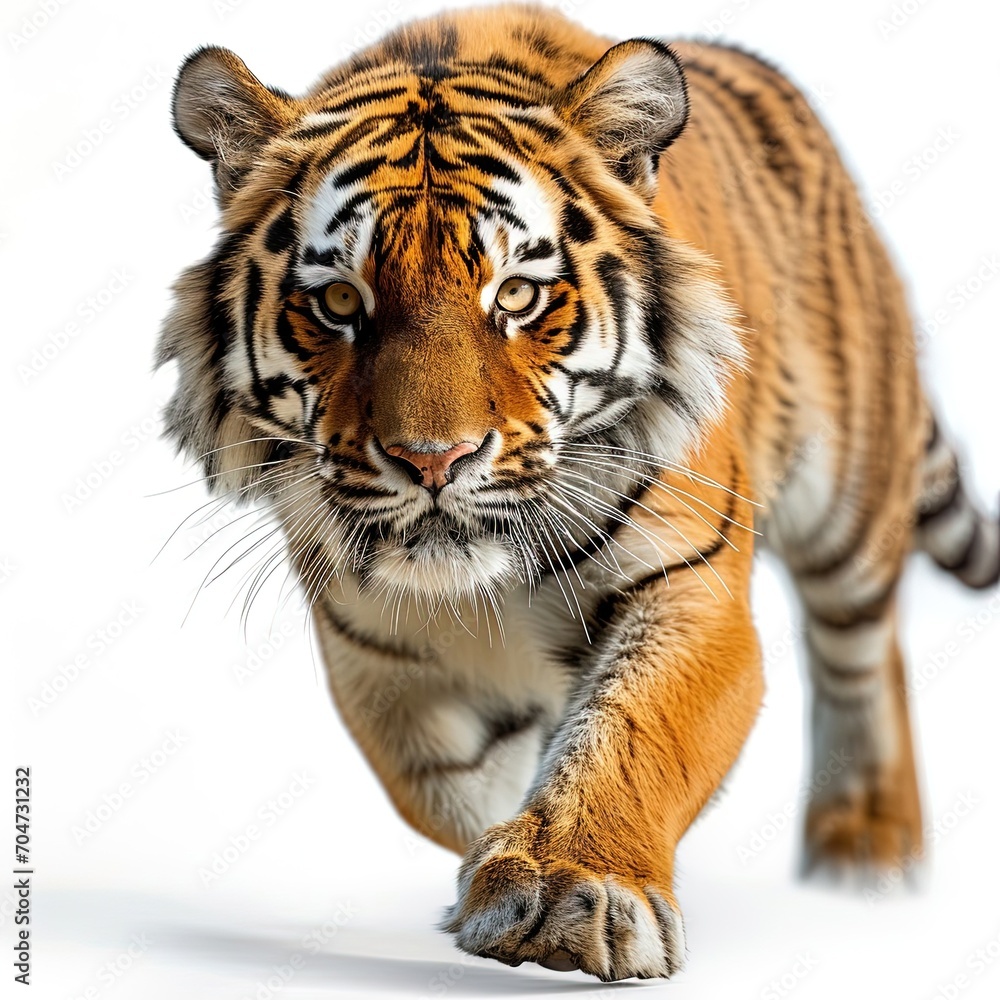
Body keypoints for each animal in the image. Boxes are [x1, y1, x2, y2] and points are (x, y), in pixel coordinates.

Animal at [157, 1, 999, 982]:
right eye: (338, 303)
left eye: (518, 296)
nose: (434, 460)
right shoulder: (380, 654)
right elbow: (449, 788)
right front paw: (491, 882)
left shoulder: (690, 585)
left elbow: (630, 733)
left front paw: (570, 888)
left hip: (851, 493)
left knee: (864, 653)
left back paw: (867, 852)